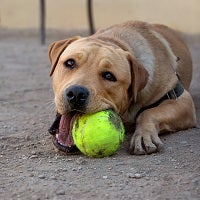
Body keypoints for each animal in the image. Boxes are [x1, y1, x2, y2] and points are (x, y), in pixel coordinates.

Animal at [48, 20, 195, 155]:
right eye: (70, 63)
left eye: (109, 76)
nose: (76, 93)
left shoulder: (182, 100)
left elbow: (149, 112)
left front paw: (143, 135)